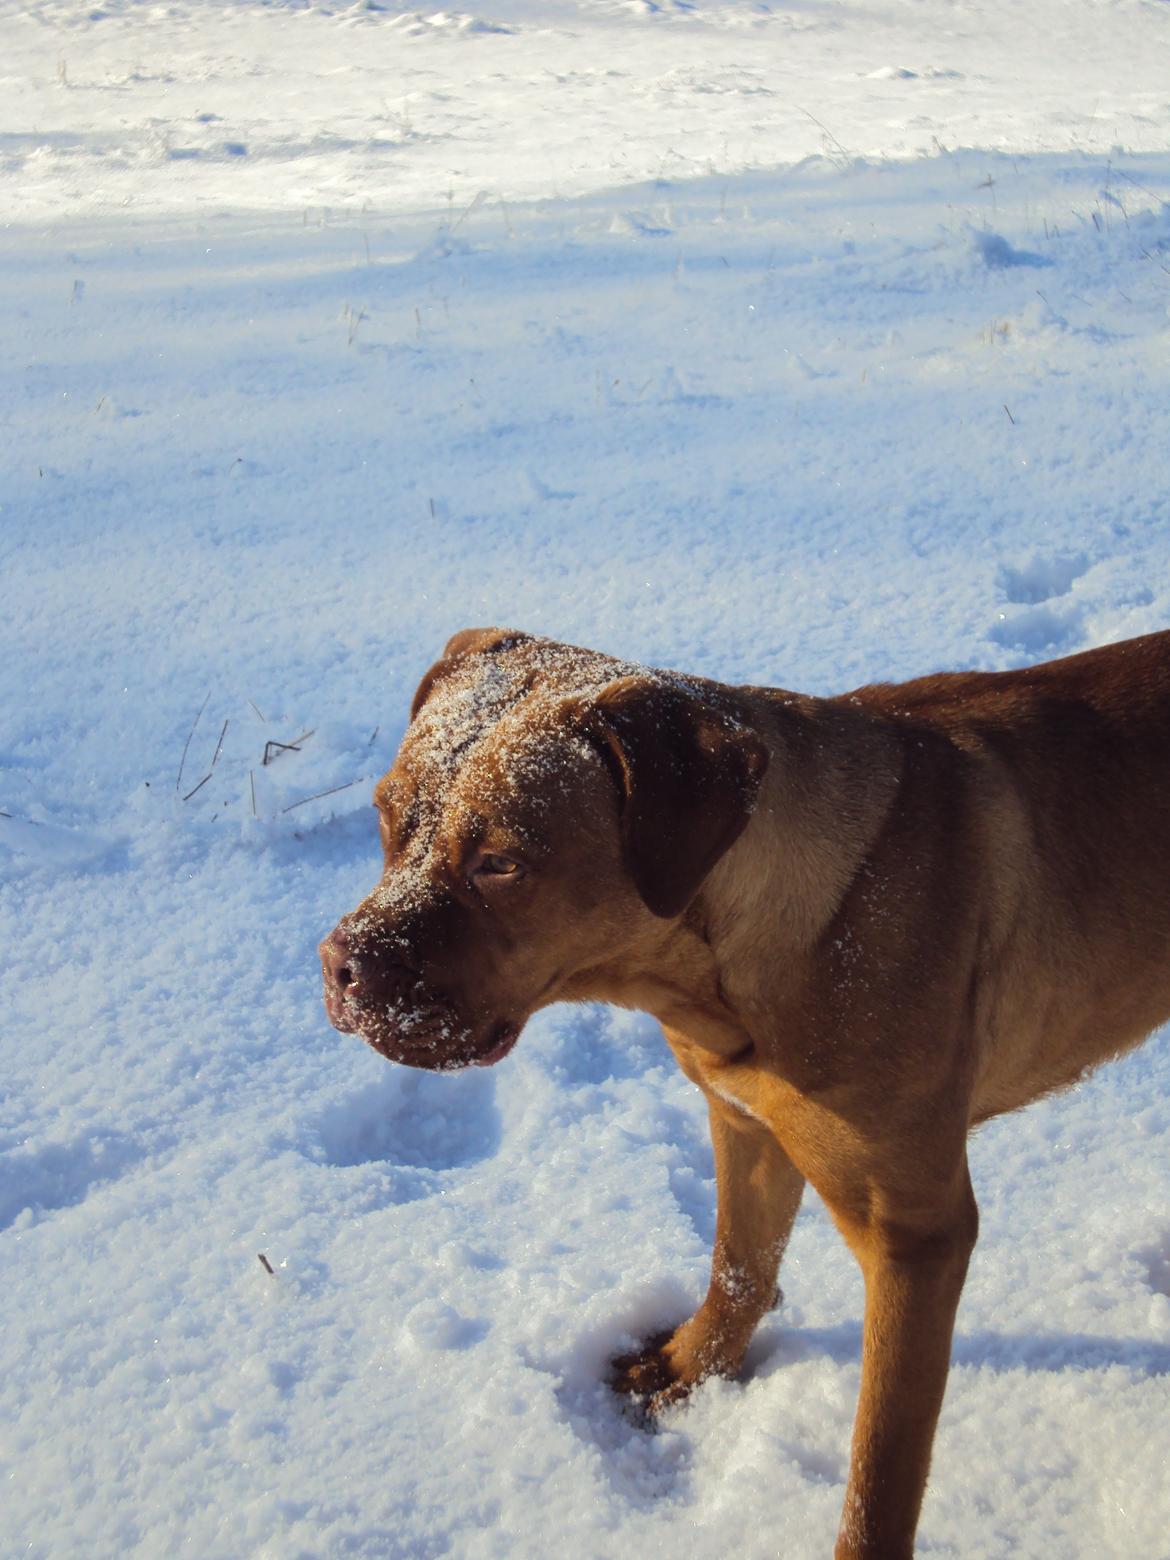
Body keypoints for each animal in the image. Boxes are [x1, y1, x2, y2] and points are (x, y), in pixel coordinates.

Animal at [318, 627, 1170, 1553]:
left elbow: (882, 1460)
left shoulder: (914, 1236)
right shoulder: (744, 1117)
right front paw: (693, 1366)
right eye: (385, 819)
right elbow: (738, 1265)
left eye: (501, 863)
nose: (340, 967)